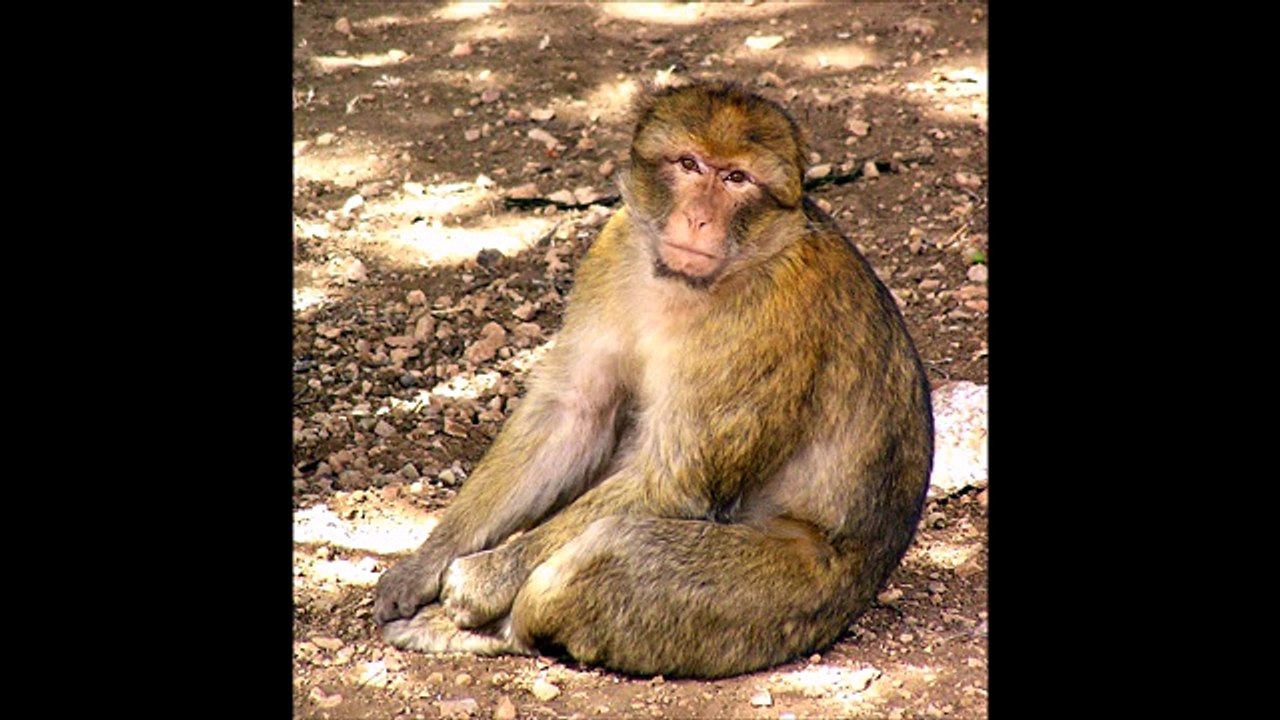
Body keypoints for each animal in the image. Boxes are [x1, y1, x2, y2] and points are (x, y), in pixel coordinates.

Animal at [374, 82, 934, 679]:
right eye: (690, 165)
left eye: (736, 178)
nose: (698, 220)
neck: (698, 283)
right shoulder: (614, 248)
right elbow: (574, 414)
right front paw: (426, 562)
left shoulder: (772, 319)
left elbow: (673, 481)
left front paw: (483, 579)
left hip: (795, 597)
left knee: (608, 554)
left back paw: (500, 632)